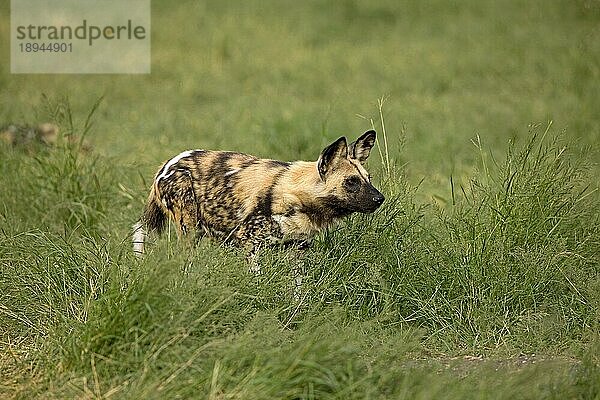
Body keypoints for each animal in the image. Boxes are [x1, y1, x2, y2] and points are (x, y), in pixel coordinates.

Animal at [132, 130, 384, 270]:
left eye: (368, 178)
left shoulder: (298, 249)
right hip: (190, 230)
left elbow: (298, 292)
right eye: (351, 182)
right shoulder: (250, 244)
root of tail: (166, 164)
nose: (379, 198)